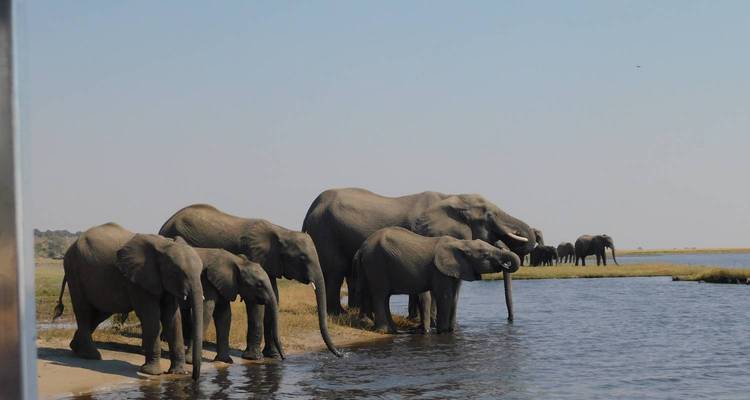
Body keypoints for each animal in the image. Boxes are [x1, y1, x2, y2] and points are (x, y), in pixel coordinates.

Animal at [52, 223, 204, 380]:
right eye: (177, 272)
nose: (194, 378)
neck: (164, 245)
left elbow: (173, 319)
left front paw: (178, 373)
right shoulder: (138, 280)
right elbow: (151, 317)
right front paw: (151, 372)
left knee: (100, 313)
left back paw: (76, 348)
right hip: (74, 271)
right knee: (84, 311)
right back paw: (91, 355)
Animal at [159, 204, 341, 359]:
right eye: (302, 258)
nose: (340, 354)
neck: (280, 232)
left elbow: (274, 298)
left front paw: (272, 356)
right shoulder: (252, 255)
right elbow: (255, 303)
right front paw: (255, 358)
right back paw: (166, 340)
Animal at [302, 188, 535, 322]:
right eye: (489, 216)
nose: (510, 320)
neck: (450, 198)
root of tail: (310, 210)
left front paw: (416, 320)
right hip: (325, 231)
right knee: (335, 272)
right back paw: (337, 314)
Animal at [353, 227, 520, 333]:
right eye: (486, 255)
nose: (510, 320)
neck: (460, 243)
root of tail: (361, 248)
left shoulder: (457, 268)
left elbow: (455, 296)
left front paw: (452, 330)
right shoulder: (439, 270)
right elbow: (445, 296)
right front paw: (443, 331)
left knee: (382, 296)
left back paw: (393, 331)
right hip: (376, 263)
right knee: (380, 295)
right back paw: (385, 331)